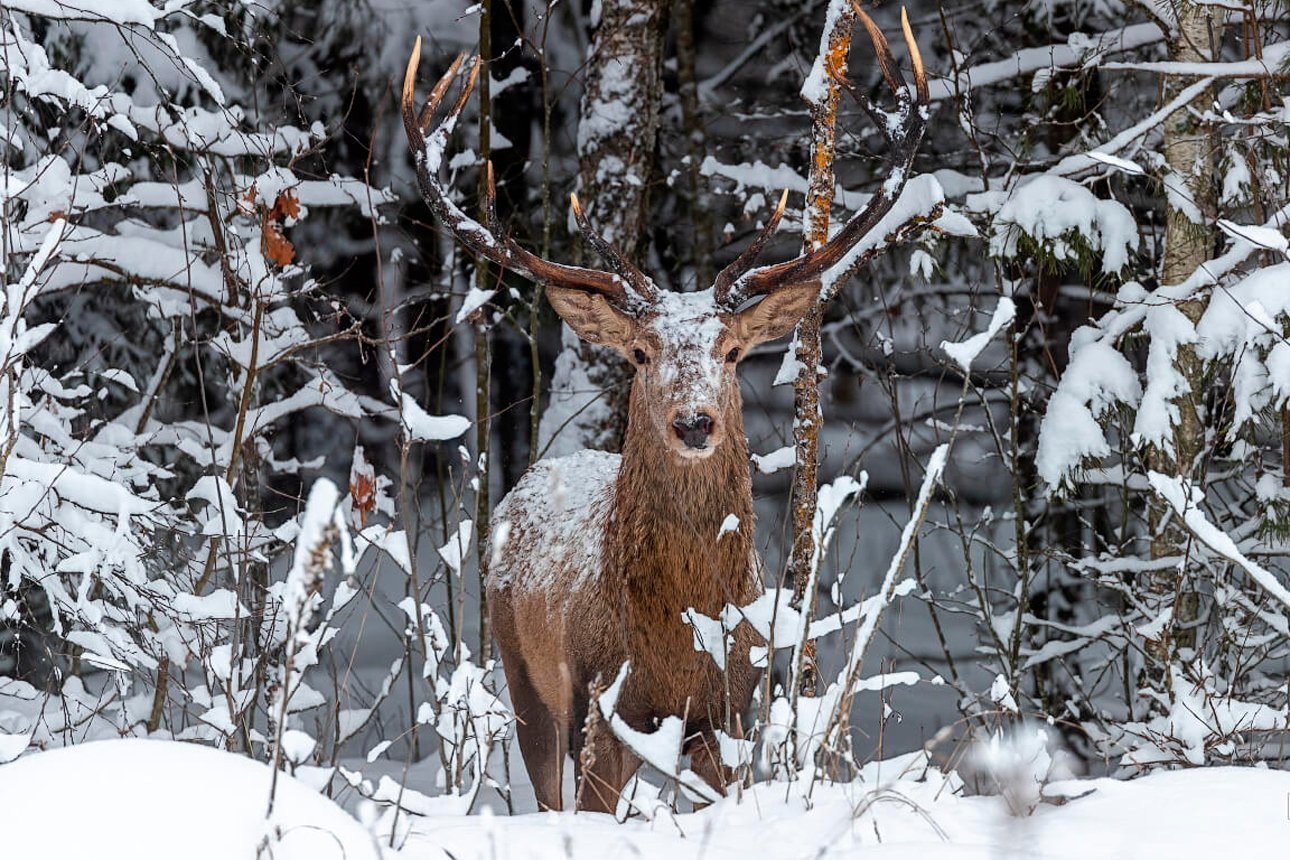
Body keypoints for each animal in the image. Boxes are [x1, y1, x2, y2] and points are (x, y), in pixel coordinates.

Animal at [402, 6, 928, 814]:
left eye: (734, 353)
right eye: (643, 354)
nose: (693, 422)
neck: (678, 637)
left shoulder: (732, 709)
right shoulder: (603, 699)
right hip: (524, 671)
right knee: (545, 786)